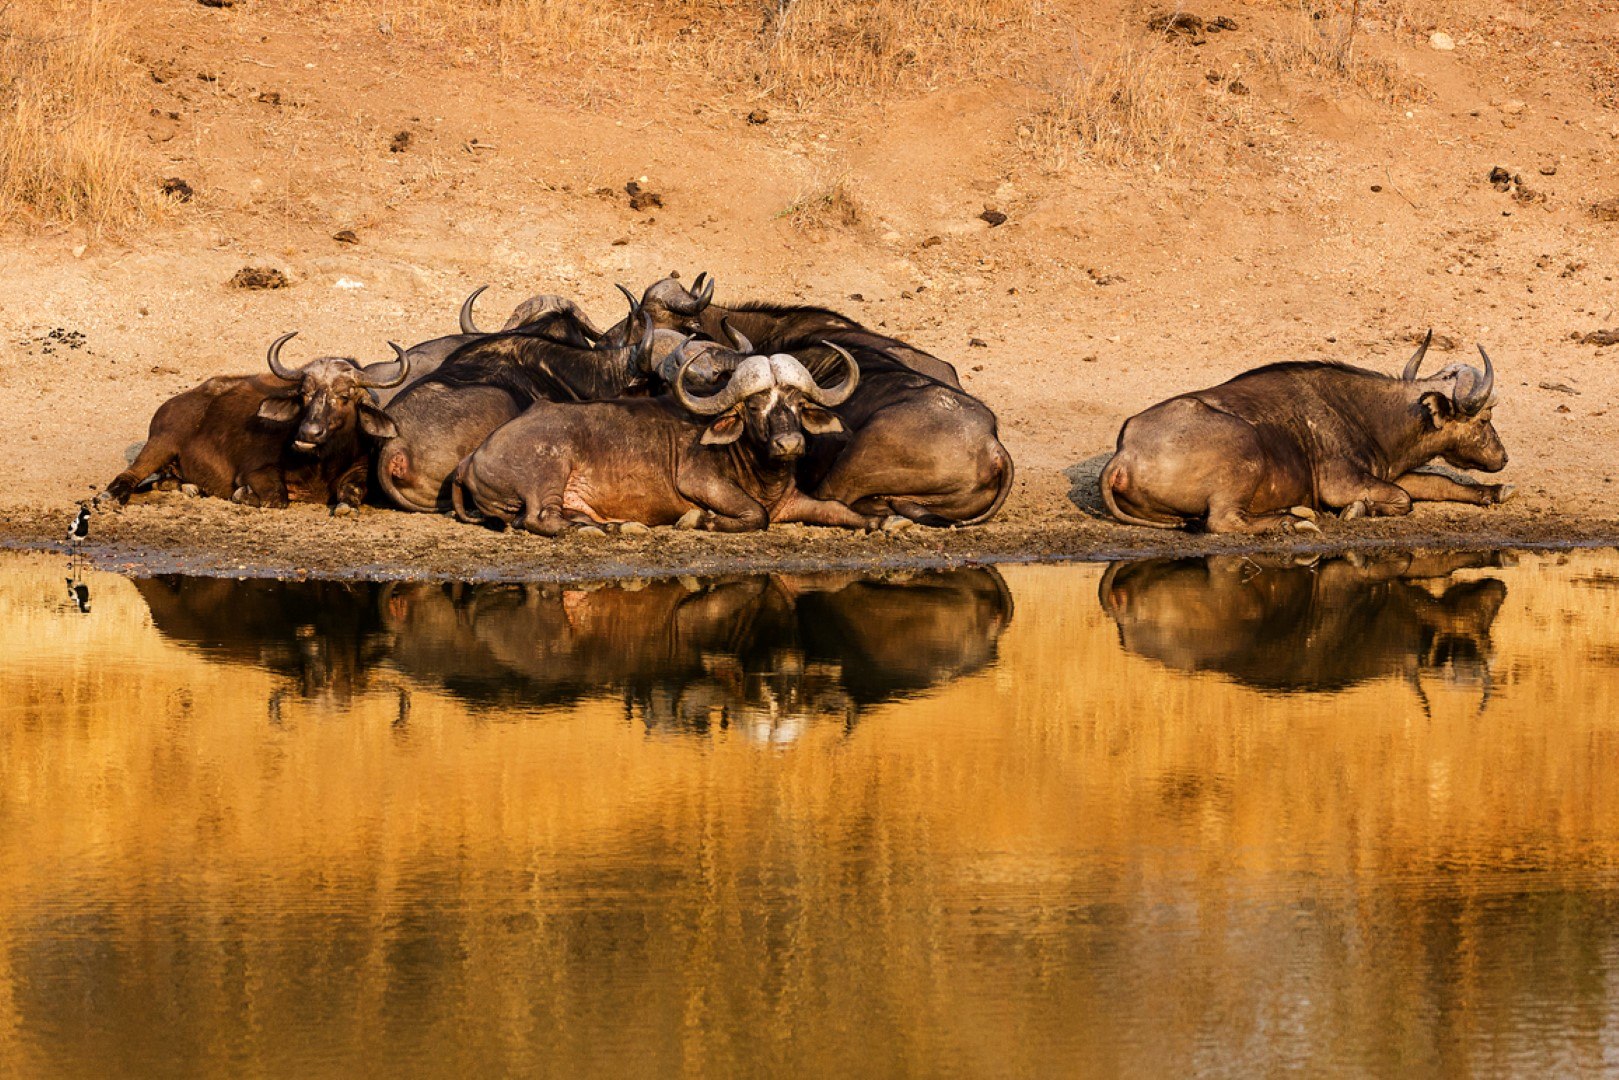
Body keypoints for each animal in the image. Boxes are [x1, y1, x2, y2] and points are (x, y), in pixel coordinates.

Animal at [101, 331, 407, 514]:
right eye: (304, 393)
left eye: (344, 396)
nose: (308, 432)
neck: (321, 462)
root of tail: (170, 405)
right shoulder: (256, 470)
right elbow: (277, 497)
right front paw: (243, 495)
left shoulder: (359, 469)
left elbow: (352, 492)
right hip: (159, 444)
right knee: (128, 476)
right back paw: (109, 497)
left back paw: (189, 488)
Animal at [450, 344, 887, 534]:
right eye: (754, 405)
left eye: (796, 403)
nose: (790, 444)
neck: (762, 471)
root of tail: (470, 458)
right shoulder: (700, 482)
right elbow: (754, 515)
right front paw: (703, 520)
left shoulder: (793, 502)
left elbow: (842, 511)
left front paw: (882, 520)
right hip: (549, 469)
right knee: (538, 518)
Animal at [1094, 331, 1508, 531]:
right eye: (1485, 418)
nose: (1503, 458)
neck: (1371, 415)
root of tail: (1125, 453)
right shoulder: (1342, 482)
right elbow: (1403, 499)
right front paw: (1356, 511)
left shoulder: (1390, 471)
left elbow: (1438, 482)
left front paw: (1494, 492)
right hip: (1245, 450)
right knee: (1222, 522)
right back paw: (1294, 521)